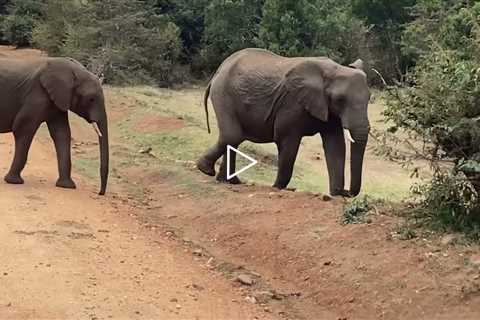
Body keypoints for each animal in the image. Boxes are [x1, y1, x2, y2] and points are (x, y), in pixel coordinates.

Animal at [0, 56, 109, 194]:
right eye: (91, 99)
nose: (100, 193)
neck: (74, 71)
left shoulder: (57, 101)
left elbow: (62, 133)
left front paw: (67, 186)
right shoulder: (37, 95)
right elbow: (23, 128)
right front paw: (14, 181)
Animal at [195, 48, 372, 198]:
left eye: (369, 98)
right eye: (340, 99)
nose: (347, 192)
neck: (333, 70)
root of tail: (219, 70)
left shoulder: (327, 108)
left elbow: (336, 145)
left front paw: (335, 195)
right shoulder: (291, 103)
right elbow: (287, 141)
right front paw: (277, 187)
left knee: (234, 139)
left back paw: (230, 181)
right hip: (223, 94)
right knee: (232, 136)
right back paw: (206, 170)